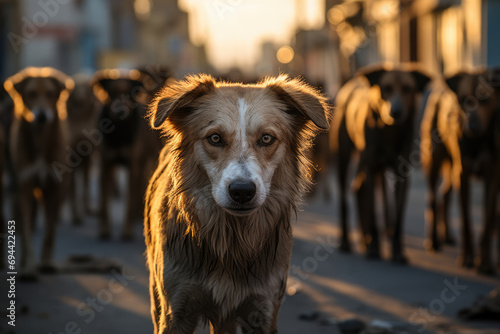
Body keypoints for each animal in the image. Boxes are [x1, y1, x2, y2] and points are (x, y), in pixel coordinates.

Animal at [3, 66, 74, 278]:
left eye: (50, 94)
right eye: (31, 94)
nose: (41, 115)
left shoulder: (54, 189)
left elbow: (50, 232)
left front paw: (47, 263)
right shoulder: (24, 187)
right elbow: (26, 234)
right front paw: (28, 268)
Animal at [145, 74, 332, 332]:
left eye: (266, 138)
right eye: (215, 138)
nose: (242, 191)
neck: (232, 241)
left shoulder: (263, 309)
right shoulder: (177, 311)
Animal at [330, 64, 432, 262]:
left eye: (407, 89)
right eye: (387, 88)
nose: (396, 112)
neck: (389, 132)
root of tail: (350, 84)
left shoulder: (401, 175)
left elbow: (397, 217)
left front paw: (397, 252)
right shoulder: (370, 169)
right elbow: (373, 216)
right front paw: (374, 249)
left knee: (358, 188)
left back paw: (364, 240)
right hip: (345, 156)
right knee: (345, 198)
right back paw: (347, 242)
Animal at [420, 67, 498, 274]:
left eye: (485, 99)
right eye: (463, 100)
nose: (471, 127)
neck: (478, 141)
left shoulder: (493, 177)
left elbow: (487, 221)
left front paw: (486, 262)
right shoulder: (463, 174)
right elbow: (466, 221)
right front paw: (467, 258)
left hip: (451, 169)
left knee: (444, 195)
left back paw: (446, 235)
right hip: (436, 163)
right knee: (433, 198)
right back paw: (433, 240)